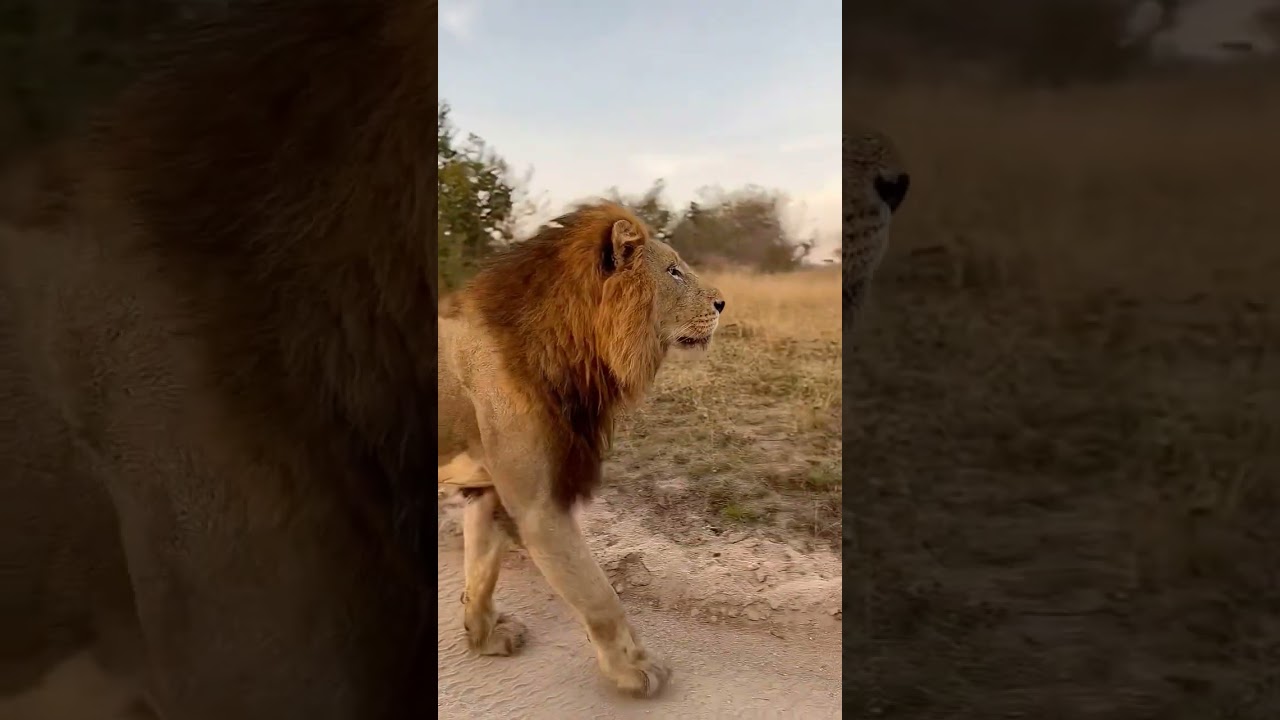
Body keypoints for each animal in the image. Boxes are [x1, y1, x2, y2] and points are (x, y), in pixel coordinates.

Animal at [437, 202, 726, 697]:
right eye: (673, 272)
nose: (722, 303)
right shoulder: (539, 505)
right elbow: (599, 595)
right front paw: (634, 668)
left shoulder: (491, 492)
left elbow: (482, 570)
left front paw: (484, 637)